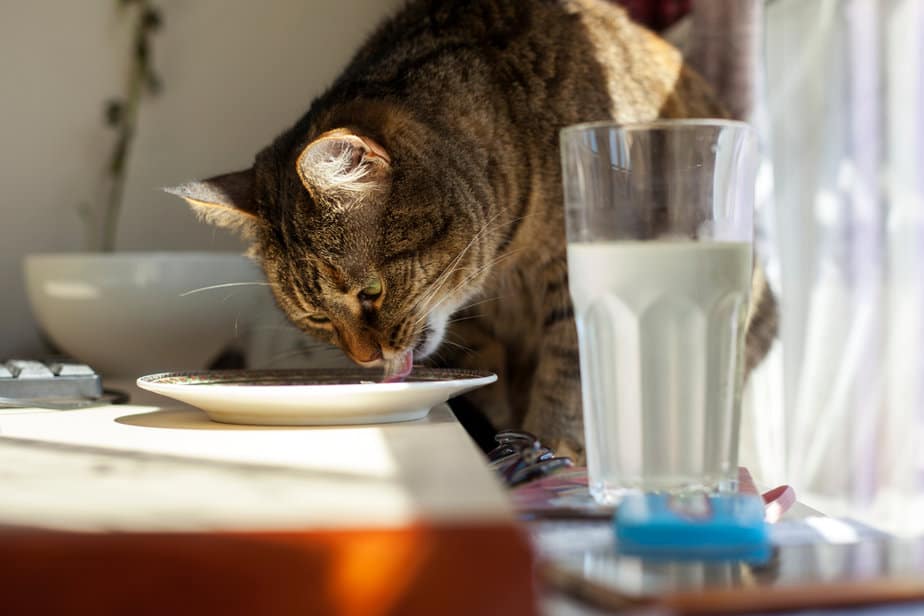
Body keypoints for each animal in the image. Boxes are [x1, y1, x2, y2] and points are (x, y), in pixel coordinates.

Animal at [166, 0, 772, 460]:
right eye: (317, 317)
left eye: (371, 291)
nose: (363, 361)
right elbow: (486, 365)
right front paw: (503, 431)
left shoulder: (573, 269)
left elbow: (570, 365)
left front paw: (553, 442)